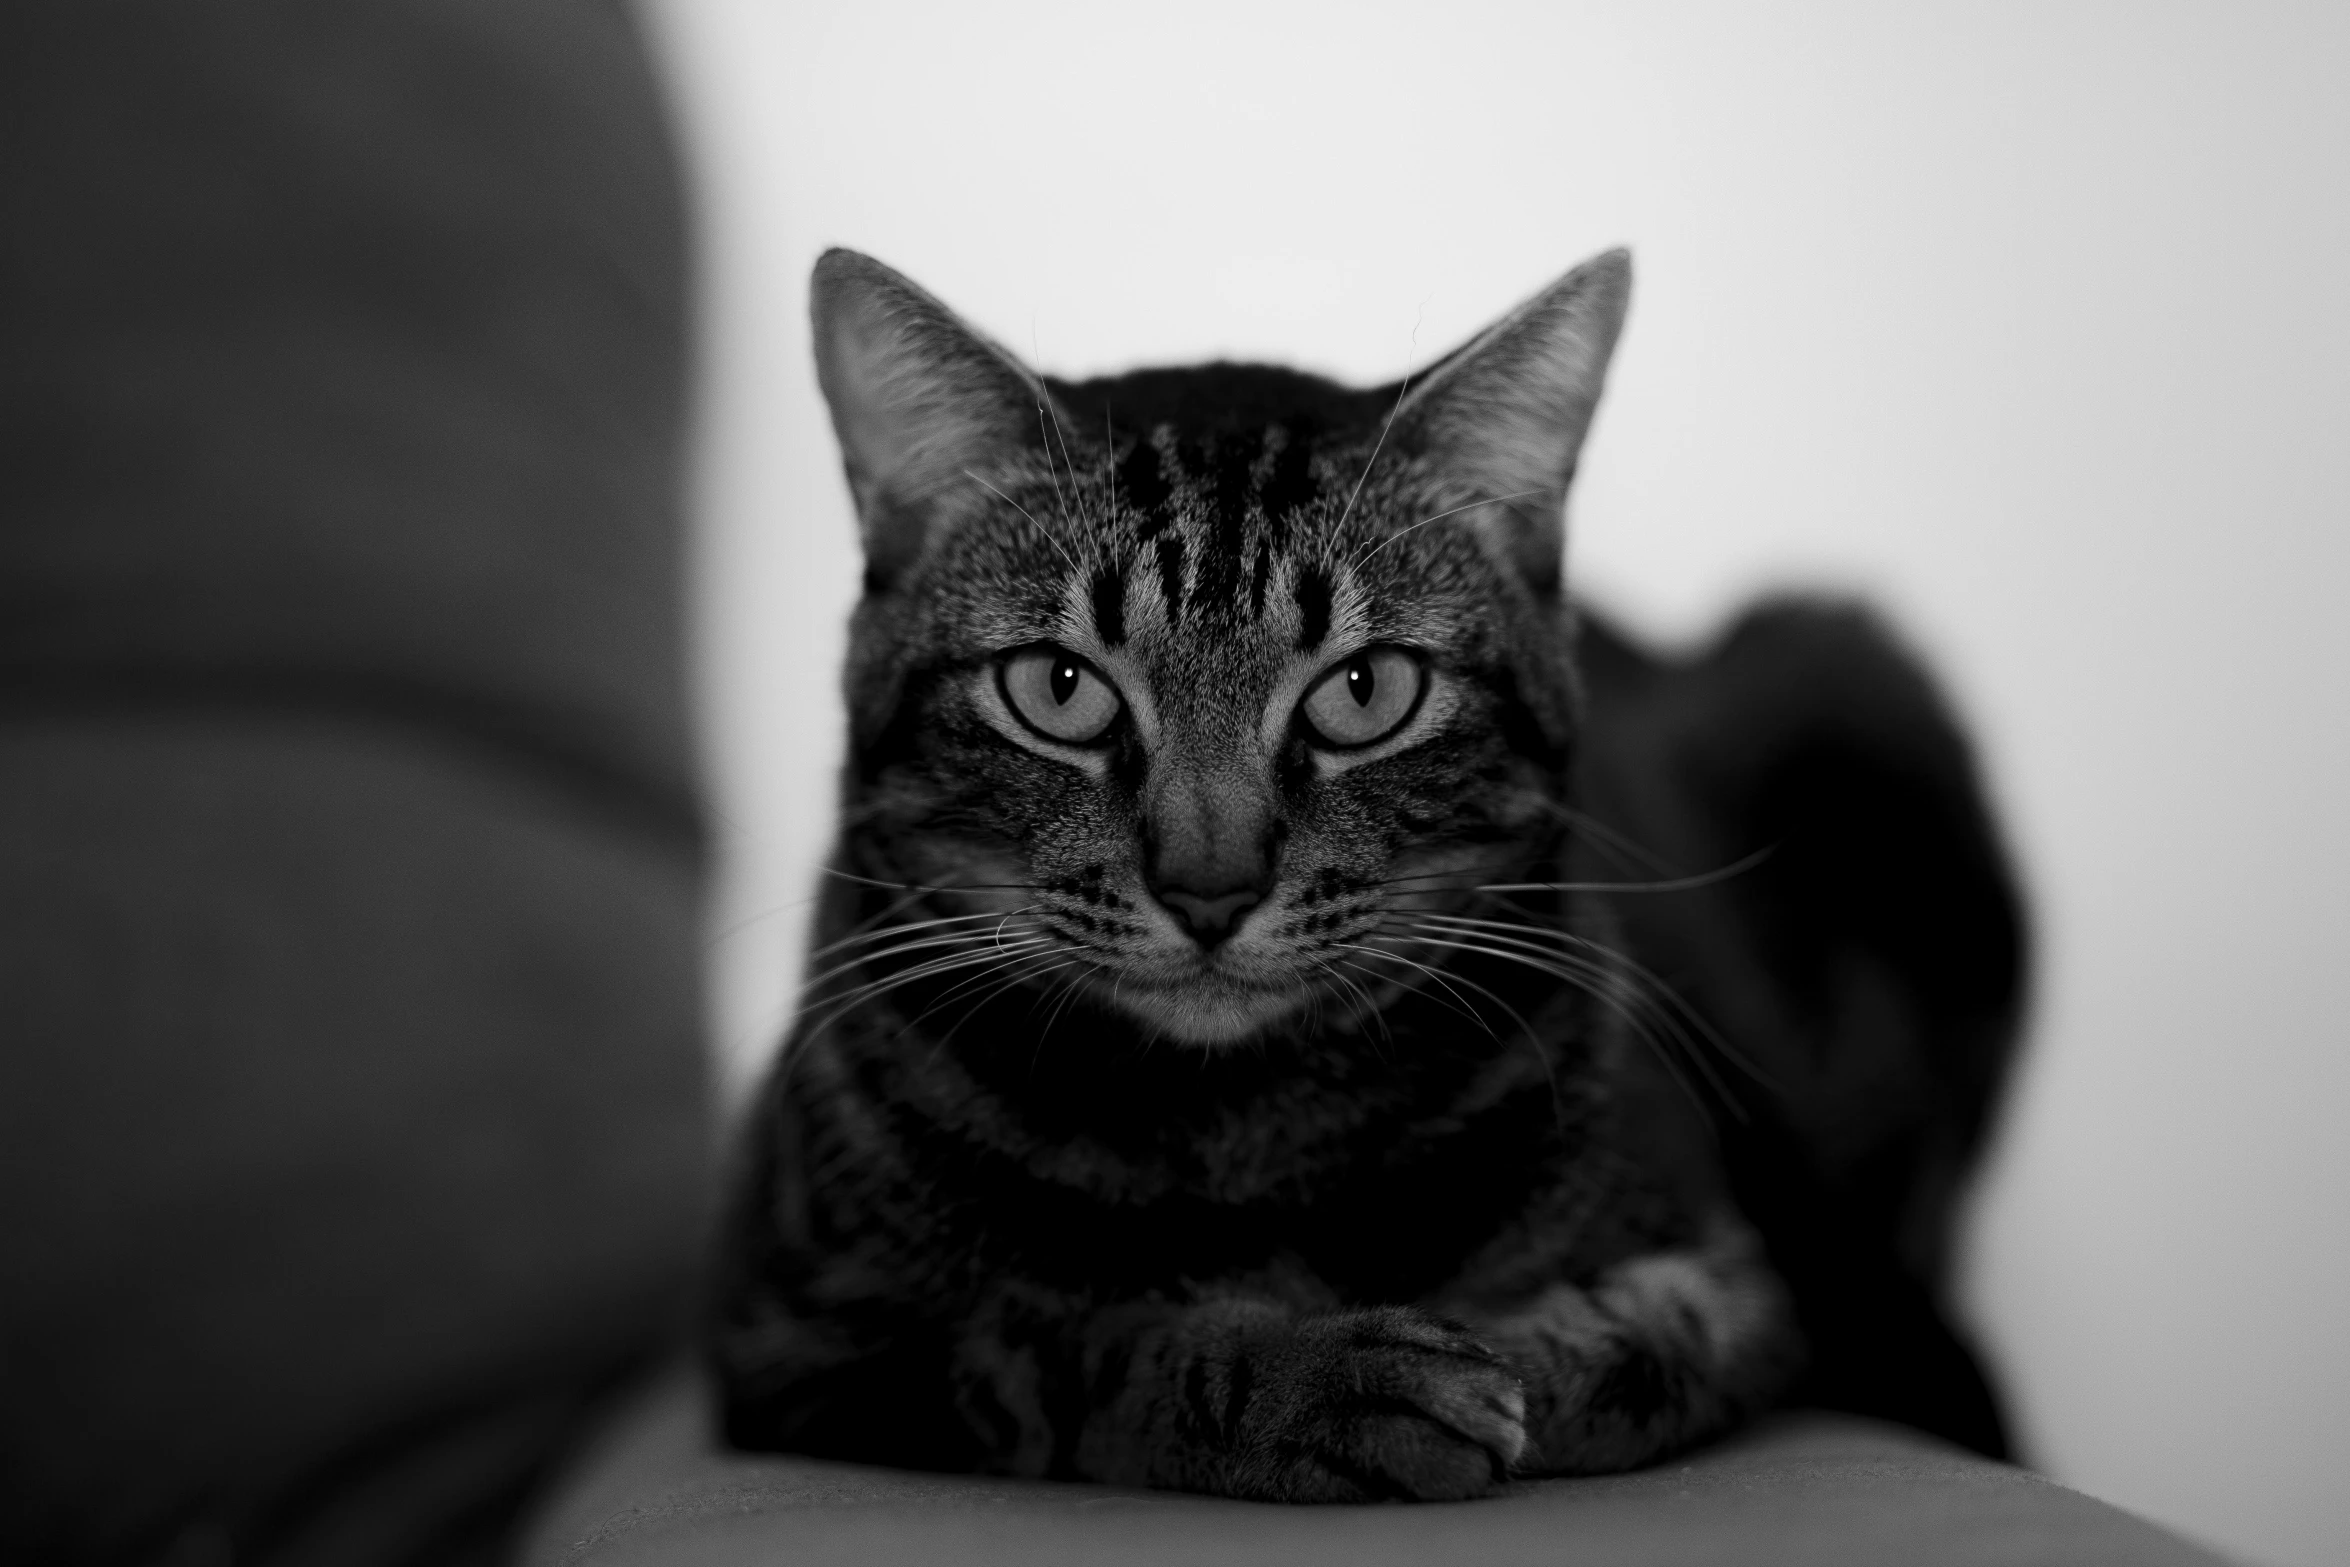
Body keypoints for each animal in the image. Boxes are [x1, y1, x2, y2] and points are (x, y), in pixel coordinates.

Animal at [714, 247, 2020, 1503]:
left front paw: (1501, 1361)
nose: (1209, 886)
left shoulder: (1738, 1272)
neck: (1237, 1130)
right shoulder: (813, 1345)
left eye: (1364, 690)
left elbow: (1639, 1345)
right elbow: (1072, 1348)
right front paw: (1318, 1377)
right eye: (1059, 687)